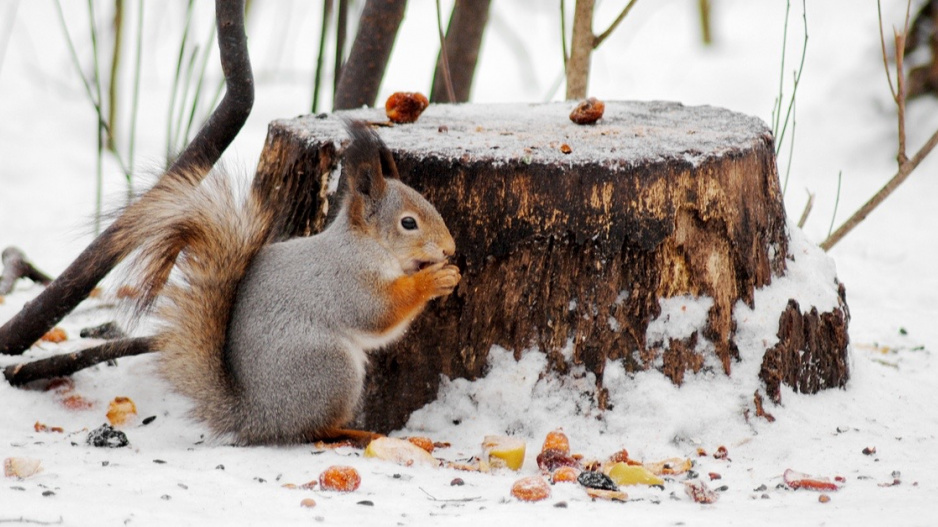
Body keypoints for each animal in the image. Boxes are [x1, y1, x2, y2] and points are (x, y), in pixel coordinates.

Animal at [120, 122, 460, 446]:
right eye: (408, 223)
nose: (450, 249)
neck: (367, 244)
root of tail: (260, 417)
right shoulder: (348, 282)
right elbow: (380, 314)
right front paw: (433, 279)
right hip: (329, 367)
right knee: (314, 430)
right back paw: (356, 433)